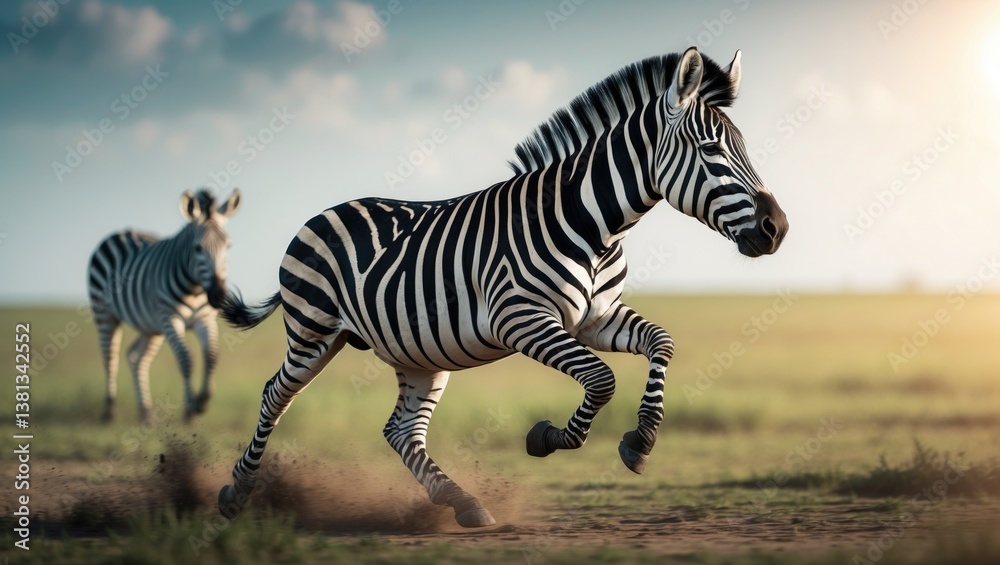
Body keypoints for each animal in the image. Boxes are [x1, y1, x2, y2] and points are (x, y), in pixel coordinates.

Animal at [87, 189, 242, 423]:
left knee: (136, 358)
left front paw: (203, 400)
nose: (218, 296)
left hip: (150, 325)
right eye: (197, 248)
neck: (195, 289)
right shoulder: (170, 318)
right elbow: (186, 359)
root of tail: (121, 232)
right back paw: (109, 412)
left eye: (229, 246)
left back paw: (145, 412)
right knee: (110, 358)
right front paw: (191, 408)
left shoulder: (204, 319)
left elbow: (212, 356)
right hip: (105, 314)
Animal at [217, 47, 787, 527]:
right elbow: (601, 379)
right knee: (275, 395)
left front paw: (641, 439)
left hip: (417, 351)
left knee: (401, 430)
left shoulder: (597, 318)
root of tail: (324, 211)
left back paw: (463, 503)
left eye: (743, 148)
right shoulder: (521, 319)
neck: (597, 226)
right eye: (711, 149)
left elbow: (661, 343)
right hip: (312, 334)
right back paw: (236, 493)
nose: (776, 228)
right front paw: (548, 438)